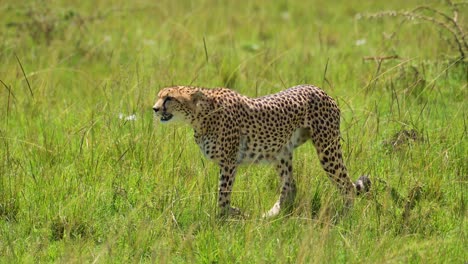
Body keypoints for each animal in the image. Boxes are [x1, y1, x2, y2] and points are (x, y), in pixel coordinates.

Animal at [153, 84, 370, 217]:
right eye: (159, 97)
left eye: (169, 98)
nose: (154, 108)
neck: (201, 115)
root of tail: (319, 89)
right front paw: (234, 214)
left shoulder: (229, 162)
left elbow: (223, 194)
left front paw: (223, 218)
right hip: (281, 152)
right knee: (290, 186)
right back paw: (271, 215)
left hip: (327, 149)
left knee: (346, 185)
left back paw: (345, 216)